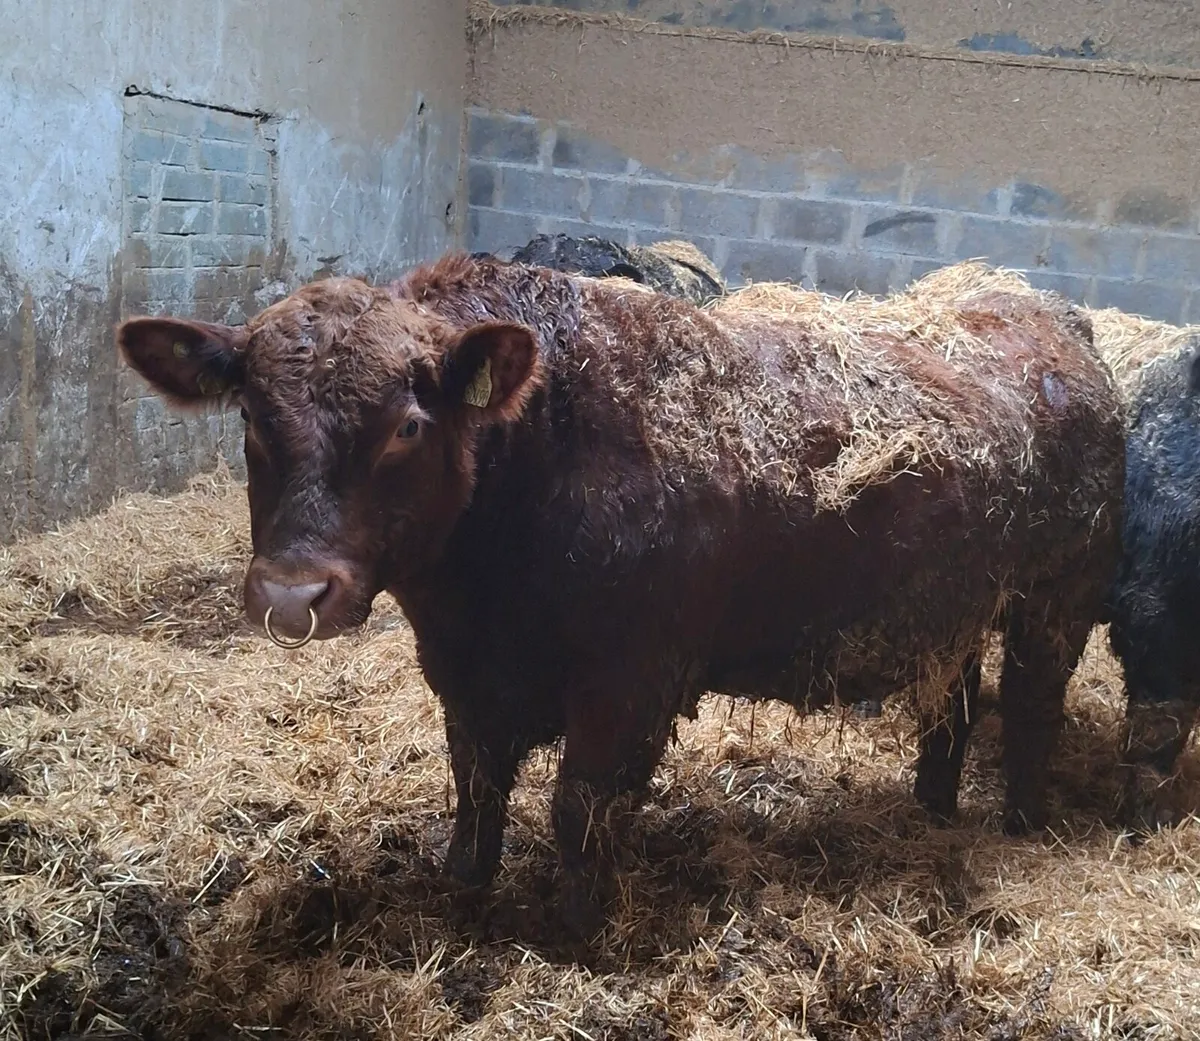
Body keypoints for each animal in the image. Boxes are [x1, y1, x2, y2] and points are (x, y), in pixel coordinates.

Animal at [116, 255, 1124, 938]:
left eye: (406, 426)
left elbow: (580, 803)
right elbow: (475, 783)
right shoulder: (464, 673)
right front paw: (463, 879)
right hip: (951, 612)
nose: (294, 593)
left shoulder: (630, 679)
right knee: (951, 705)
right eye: (252, 417)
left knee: (1032, 705)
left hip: (1056, 598)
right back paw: (930, 808)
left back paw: (1018, 822)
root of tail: (1038, 306)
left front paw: (574, 927)